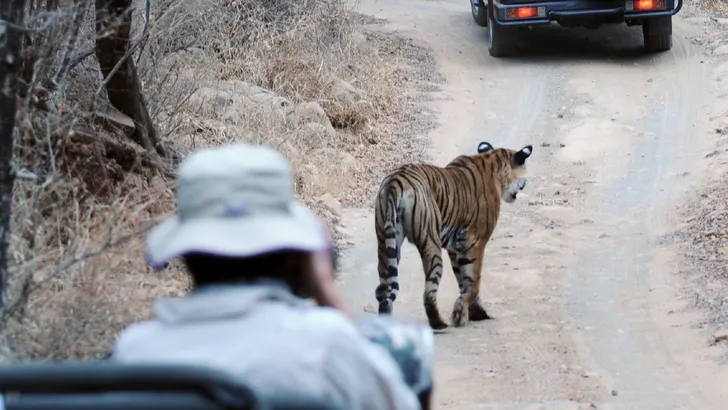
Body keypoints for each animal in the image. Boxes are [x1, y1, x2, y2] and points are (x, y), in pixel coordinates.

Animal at [372, 141, 532, 330]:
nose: (525, 184)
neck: (492, 162)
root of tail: (395, 181)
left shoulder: (455, 246)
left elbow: (463, 279)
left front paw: (472, 312)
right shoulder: (474, 240)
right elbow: (473, 280)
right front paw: (463, 314)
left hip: (386, 241)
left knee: (385, 288)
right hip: (430, 241)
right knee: (429, 291)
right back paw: (439, 323)